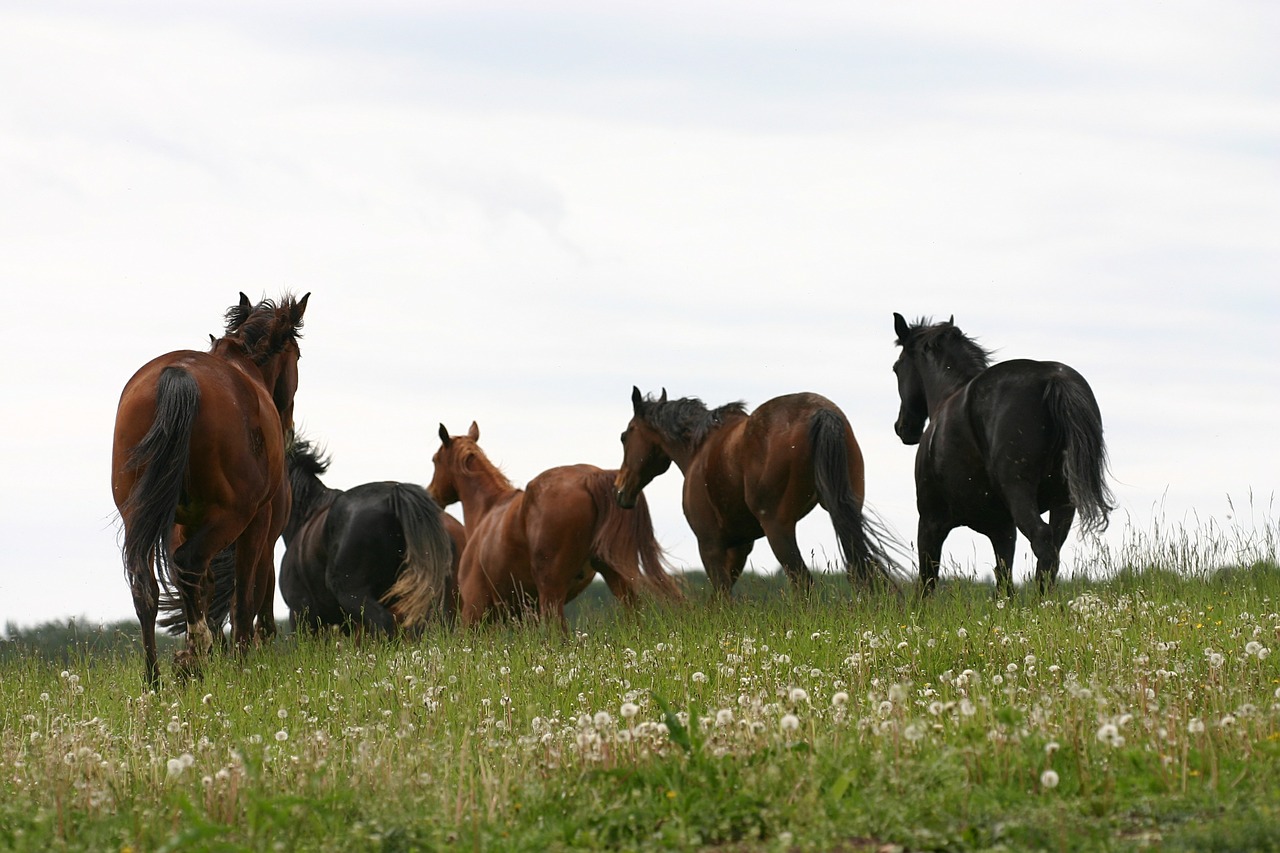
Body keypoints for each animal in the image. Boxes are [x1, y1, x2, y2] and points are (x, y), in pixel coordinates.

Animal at [111, 292, 308, 686]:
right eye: (297, 356)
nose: (290, 428)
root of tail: (179, 375)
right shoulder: (260, 528)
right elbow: (247, 598)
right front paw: (242, 661)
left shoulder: (184, 524)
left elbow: (210, 587)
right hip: (236, 516)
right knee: (192, 566)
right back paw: (193, 656)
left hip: (140, 514)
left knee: (147, 586)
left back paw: (156, 680)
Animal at [427, 420, 686, 625]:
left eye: (434, 460)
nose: (432, 495)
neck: (489, 509)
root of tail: (591, 477)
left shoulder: (474, 610)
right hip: (617, 578)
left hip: (550, 593)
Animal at [611, 384, 896, 591]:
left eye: (625, 436)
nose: (619, 489)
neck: (698, 448)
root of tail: (820, 411)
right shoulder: (740, 546)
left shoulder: (710, 545)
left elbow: (720, 598)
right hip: (845, 510)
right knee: (858, 570)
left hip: (777, 528)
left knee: (802, 582)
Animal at [890, 308, 1111, 594]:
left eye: (896, 368)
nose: (903, 427)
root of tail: (1052, 377)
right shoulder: (1003, 528)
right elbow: (1003, 579)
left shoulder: (930, 522)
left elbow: (927, 581)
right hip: (1063, 502)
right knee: (1051, 554)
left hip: (1020, 492)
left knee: (1042, 542)